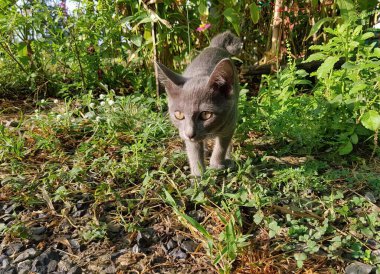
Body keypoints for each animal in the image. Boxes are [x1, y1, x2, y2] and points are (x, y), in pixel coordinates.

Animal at [155, 30, 242, 176]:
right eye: (179, 115)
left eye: (206, 115)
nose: (190, 134)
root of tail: (215, 46)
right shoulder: (185, 131)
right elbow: (194, 150)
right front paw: (198, 175)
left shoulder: (230, 120)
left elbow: (222, 145)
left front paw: (216, 164)